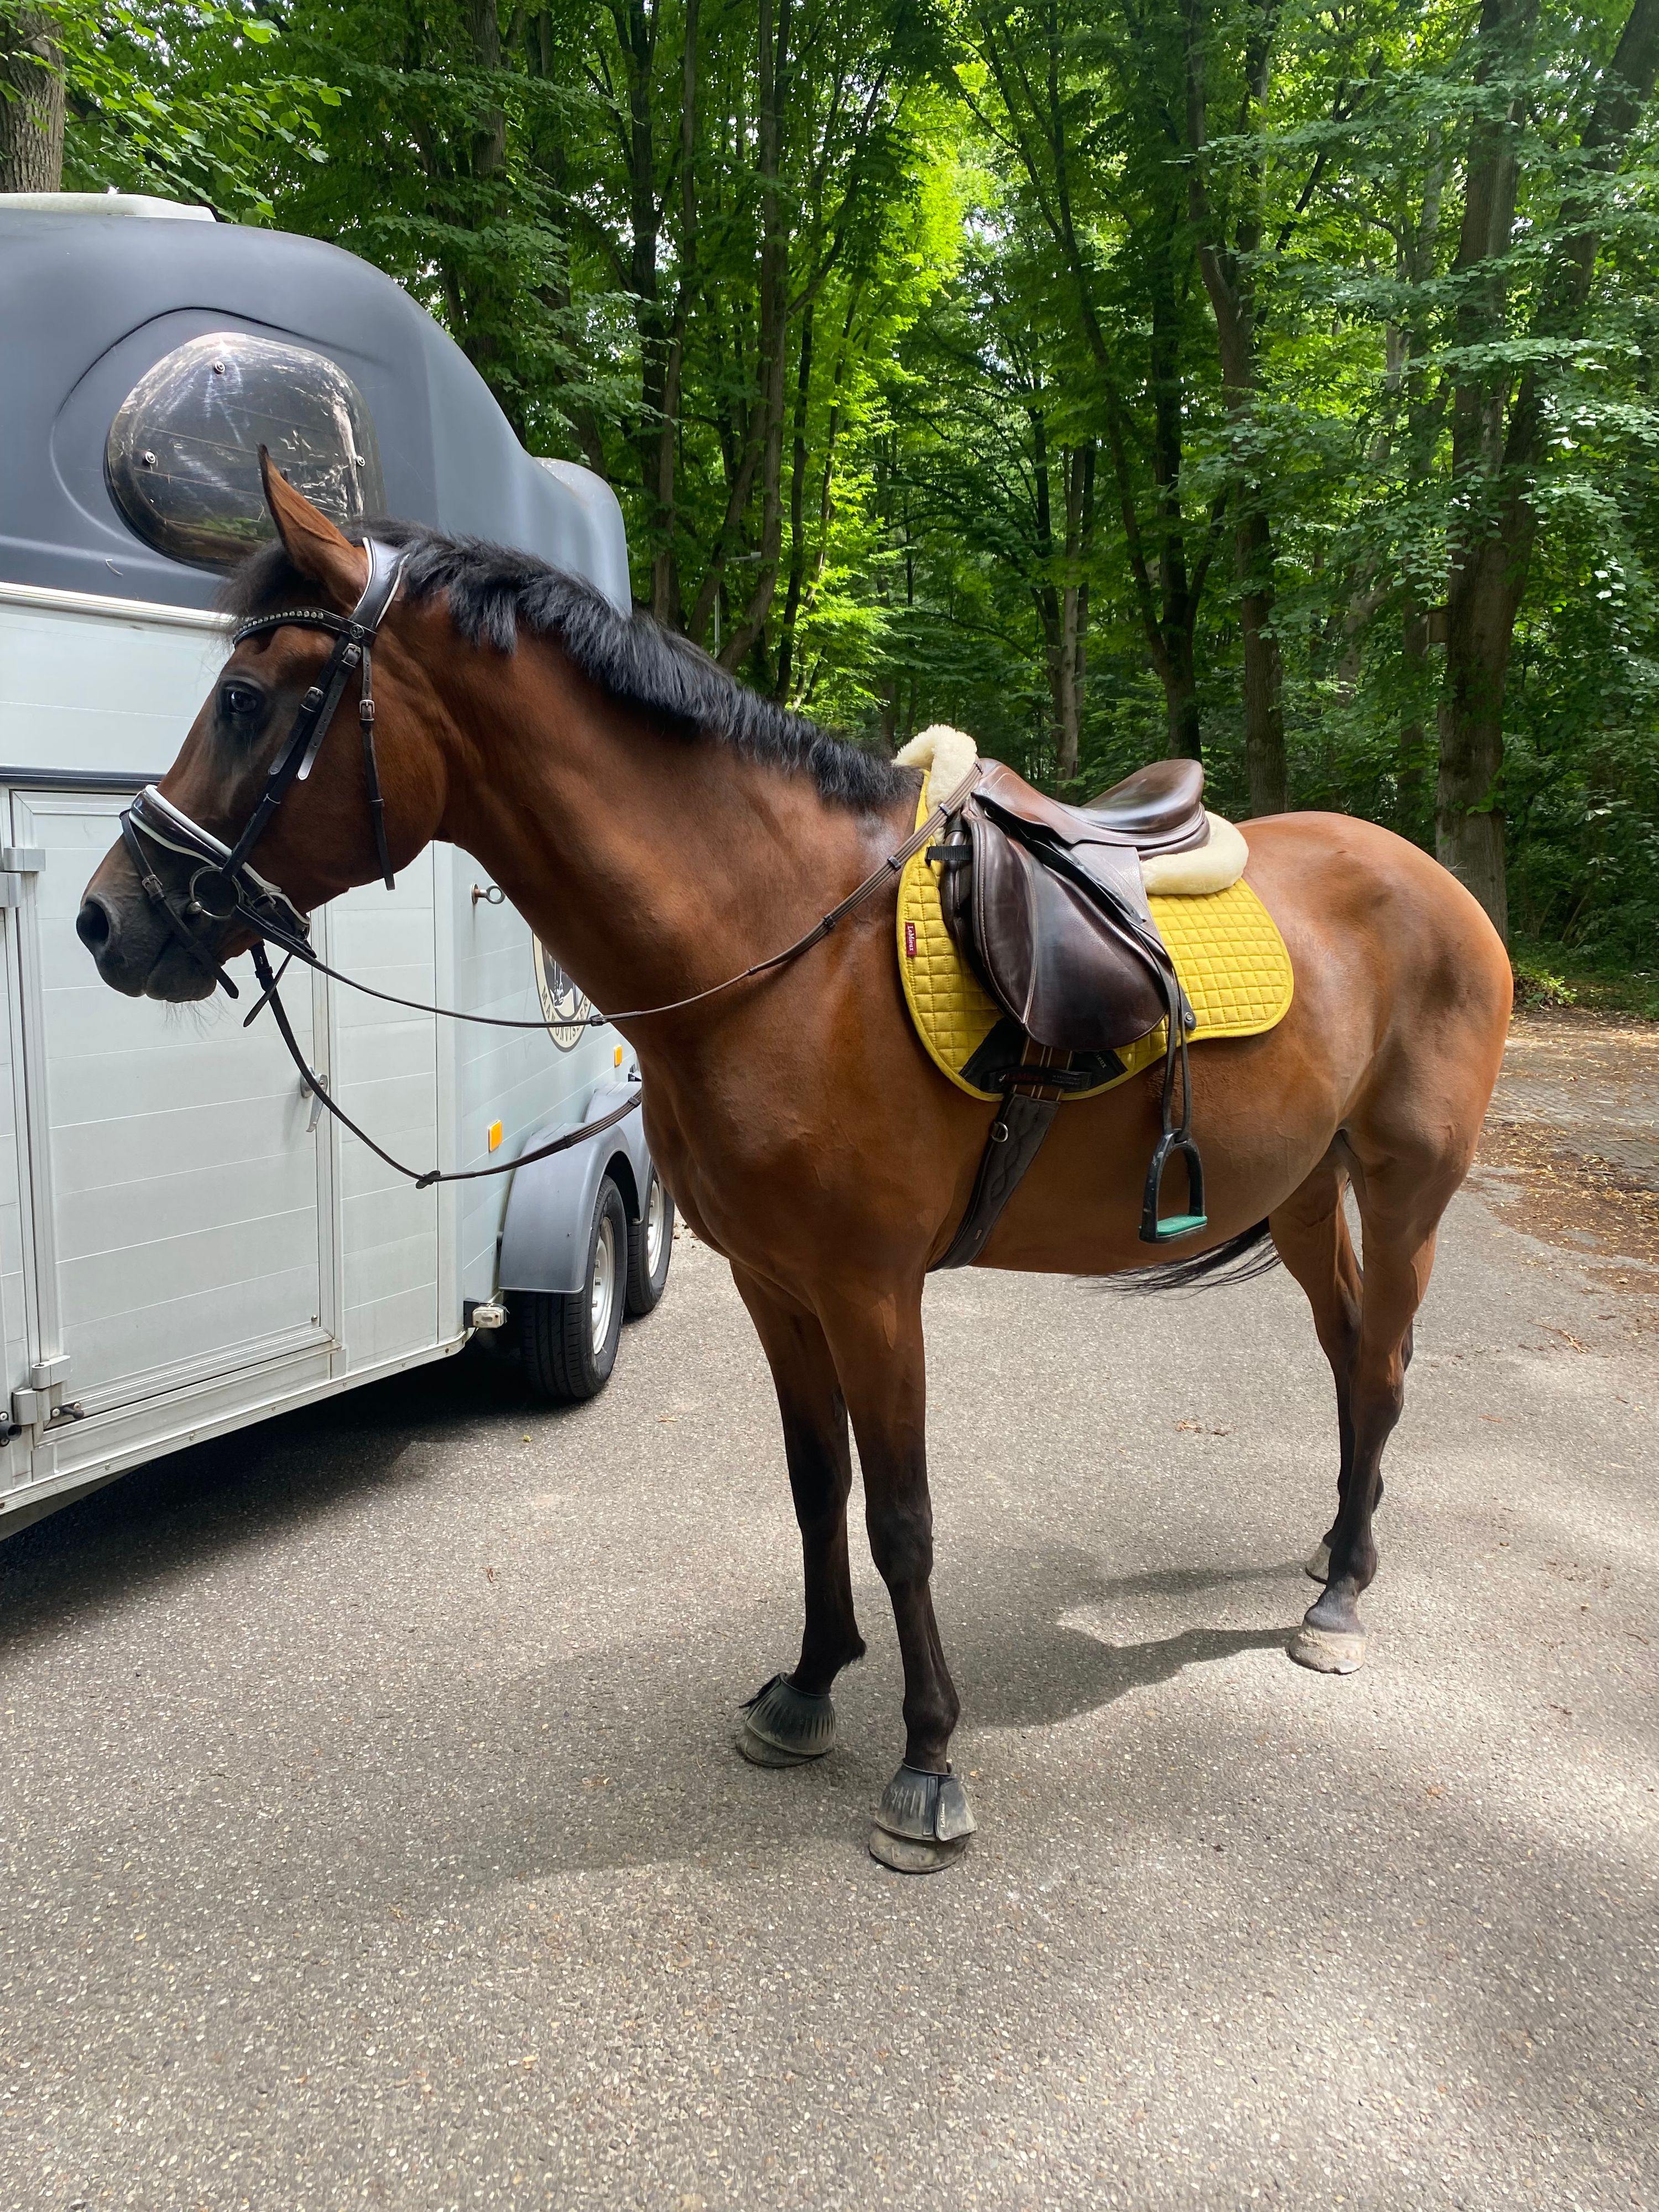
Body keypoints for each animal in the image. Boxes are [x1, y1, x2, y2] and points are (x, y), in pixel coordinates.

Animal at [78, 462, 1512, 1872]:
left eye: (246, 701)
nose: (108, 916)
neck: (779, 954)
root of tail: (1435, 882)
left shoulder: (874, 1290)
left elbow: (901, 1516)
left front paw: (928, 1761)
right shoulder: (778, 1284)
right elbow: (817, 1489)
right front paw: (810, 1686)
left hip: (1404, 1191)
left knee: (1383, 1363)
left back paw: (1340, 1596)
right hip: (1305, 1190)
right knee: (1347, 1359)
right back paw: (1331, 1548)